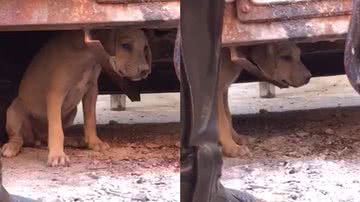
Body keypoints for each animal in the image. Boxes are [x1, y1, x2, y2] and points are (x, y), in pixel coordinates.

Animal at [1, 29, 151, 166]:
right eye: (125, 45)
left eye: (145, 48)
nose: (146, 71)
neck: (86, 56)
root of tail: (34, 138)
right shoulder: (55, 93)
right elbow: (56, 129)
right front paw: (57, 155)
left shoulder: (91, 91)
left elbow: (90, 120)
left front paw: (94, 142)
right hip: (14, 110)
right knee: (18, 138)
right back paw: (11, 147)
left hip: (71, 113)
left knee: (45, 137)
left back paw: (74, 140)